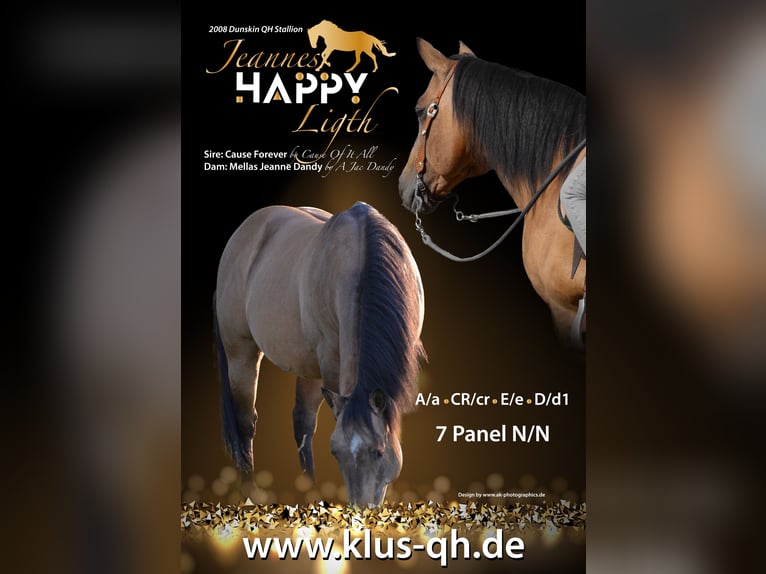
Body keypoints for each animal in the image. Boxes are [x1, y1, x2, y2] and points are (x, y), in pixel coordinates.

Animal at [213, 202, 426, 507]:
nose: (362, 510)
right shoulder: (331, 363)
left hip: (308, 364)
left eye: (379, 451)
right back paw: (249, 497)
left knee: (302, 424)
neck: (360, 255)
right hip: (241, 354)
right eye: (335, 453)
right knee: (245, 424)